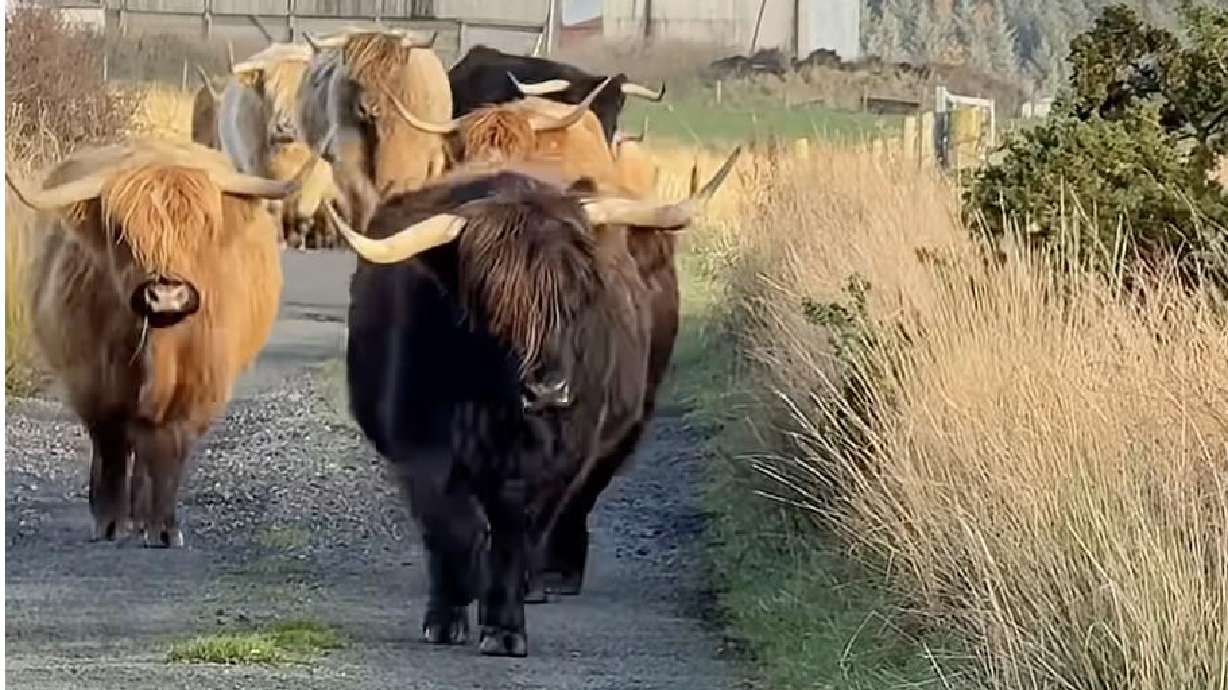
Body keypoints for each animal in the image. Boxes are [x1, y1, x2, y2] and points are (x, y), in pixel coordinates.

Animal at [5, 135, 325, 548]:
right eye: (122, 232)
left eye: (202, 228)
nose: (167, 296)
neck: (159, 349)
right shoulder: (93, 382)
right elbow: (111, 447)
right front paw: (109, 522)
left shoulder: (199, 387)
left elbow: (169, 451)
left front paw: (164, 528)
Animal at [323, 149, 737, 656]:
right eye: (493, 302)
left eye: (580, 294)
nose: (548, 390)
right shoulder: (418, 446)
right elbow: (452, 529)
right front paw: (448, 615)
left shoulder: (557, 458)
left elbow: (517, 533)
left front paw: (504, 627)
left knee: (575, 505)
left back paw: (551, 578)